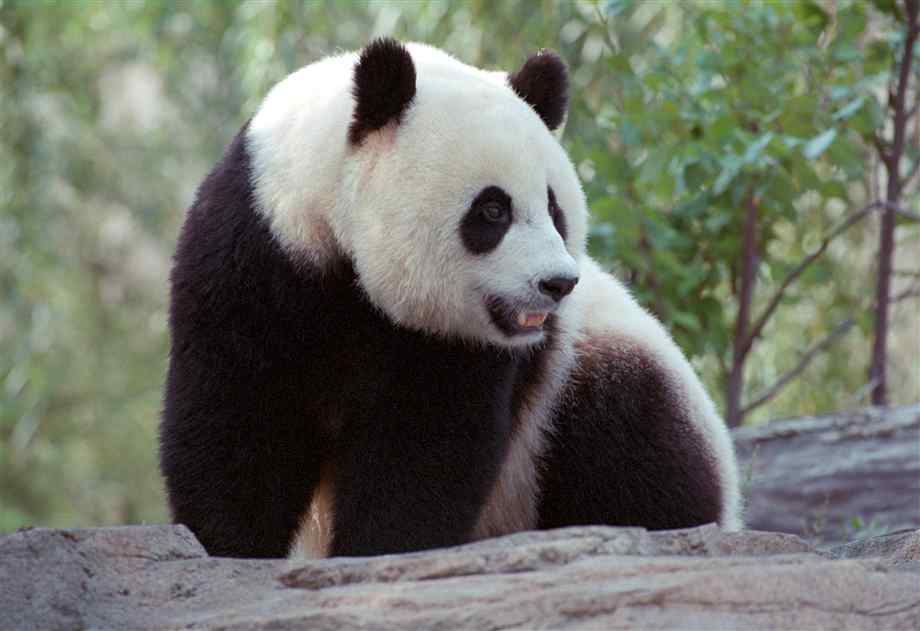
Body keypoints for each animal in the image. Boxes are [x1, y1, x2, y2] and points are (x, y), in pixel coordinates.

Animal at [161, 38, 742, 560]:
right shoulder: (257, 249)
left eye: (554, 209)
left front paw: (380, 551)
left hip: (589, 379)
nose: (558, 283)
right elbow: (241, 419)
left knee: (634, 451)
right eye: (493, 211)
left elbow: (423, 446)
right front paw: (230, 549)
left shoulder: (459, 346)